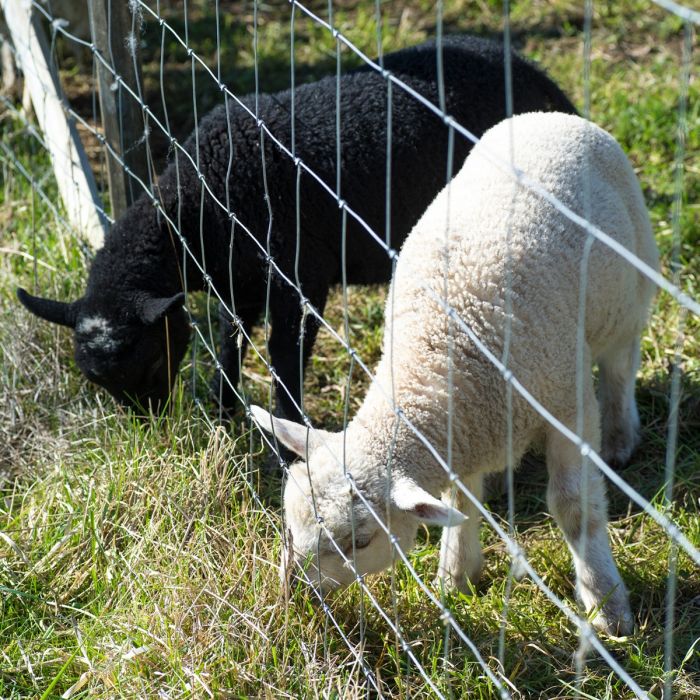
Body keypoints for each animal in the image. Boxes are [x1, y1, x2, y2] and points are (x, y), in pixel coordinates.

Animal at [17, 35, 576, 418]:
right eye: (100, 384)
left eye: (153, 362)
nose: (151, 426)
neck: (201, 202)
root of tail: (536, 74)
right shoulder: (237, 282)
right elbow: (230, 342)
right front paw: (223, 413)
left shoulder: (300, 279)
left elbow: (285, 360)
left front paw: (287, 446)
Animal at [254, 112, 660, 636]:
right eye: (289, 522)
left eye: (359, 542)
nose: (292, 597)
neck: (433, 356)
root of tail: (551, 117)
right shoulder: (465, 427)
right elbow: (462, 500)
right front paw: (456, 576)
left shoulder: (567, 406)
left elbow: (573, 507)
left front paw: (606, 604)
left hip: (626, 295)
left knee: (619, 365)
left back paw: (619, 438)